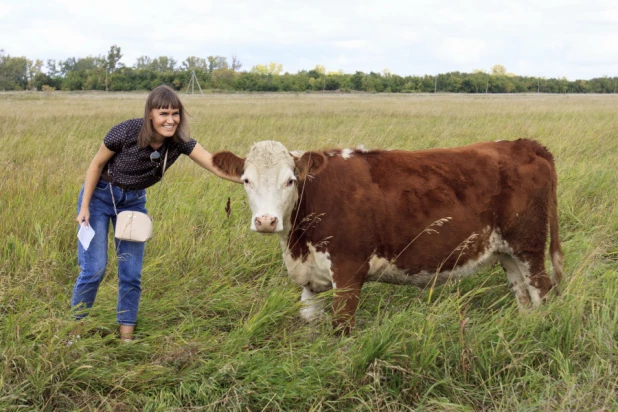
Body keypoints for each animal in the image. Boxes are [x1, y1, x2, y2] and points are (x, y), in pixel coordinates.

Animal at [213, 140, 564, 334]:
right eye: (246, 180)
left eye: (290, 180)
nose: (266, 221)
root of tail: (523, 144)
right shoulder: (310, 281)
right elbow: (310, 321)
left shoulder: (349, 271)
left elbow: (341, 329)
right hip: (507, 252)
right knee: (522, 296)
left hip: (529, 245)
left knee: (541, 292)